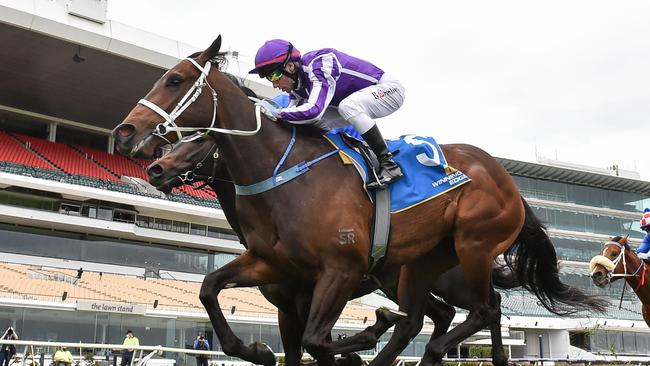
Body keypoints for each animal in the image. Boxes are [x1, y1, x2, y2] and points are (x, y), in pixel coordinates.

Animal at [148, 135, 520, 366]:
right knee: (440, 314)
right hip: (401, 281)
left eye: (198, 140)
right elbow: (295, 352)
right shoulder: (287, 307)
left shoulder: (312, 296)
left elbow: (317, 344)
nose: (156, 168)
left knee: (487, 306)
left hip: (450, 276)